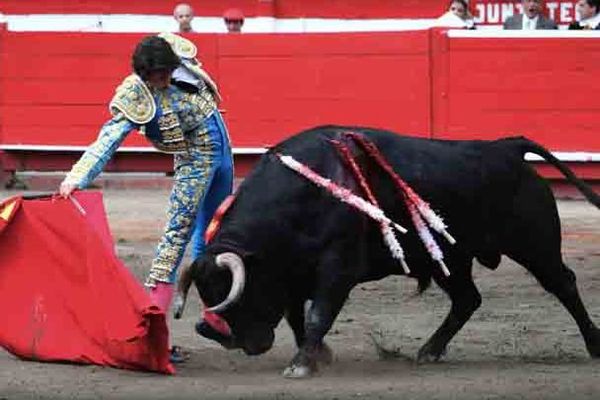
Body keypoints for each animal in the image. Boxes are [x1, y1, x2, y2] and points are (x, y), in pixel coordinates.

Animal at [172, 125, 600, 378]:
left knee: (563, 284)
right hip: (449, 260)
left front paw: (302, 364)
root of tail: (507, 148)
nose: (216, 333)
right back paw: (429, 351)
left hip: (535, 246)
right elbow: (297, 317)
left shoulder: (337, 268)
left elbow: (317, 313)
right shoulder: (292, 274)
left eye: (232, 293)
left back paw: (594, 345)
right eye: (206, 293)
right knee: (467, 299)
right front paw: (318, 355)